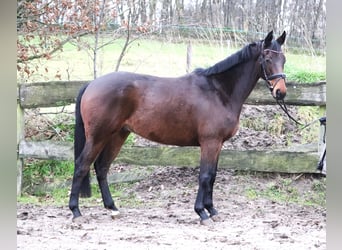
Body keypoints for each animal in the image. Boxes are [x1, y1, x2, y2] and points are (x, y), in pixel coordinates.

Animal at [68, 30, 288, 224]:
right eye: (267, 58)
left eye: (284, 59)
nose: (281, 92)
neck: (218, 91)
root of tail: (91, 84)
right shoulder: (210, 142)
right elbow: (204, 176)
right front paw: (202, 213)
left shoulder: (218, 144)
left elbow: (212, 176)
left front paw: (212, 210)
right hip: (98, 136)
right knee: (81, 166)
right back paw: (76, 212)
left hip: (117, 135)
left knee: (102, 167)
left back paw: (112, 208)